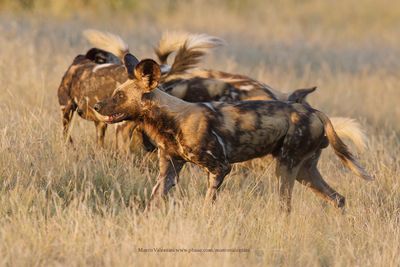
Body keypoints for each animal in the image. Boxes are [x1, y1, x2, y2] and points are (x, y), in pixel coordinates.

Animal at [92, 54, 374, 214]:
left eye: (119, 96)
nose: (96, 106)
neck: (170, 119)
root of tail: (313, 110)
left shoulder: (219, 168)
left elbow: (208, 206)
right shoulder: (168, 171)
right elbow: (153, 201)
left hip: (286, 167)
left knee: (286, 207)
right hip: (305, 171)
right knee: (338, 199)